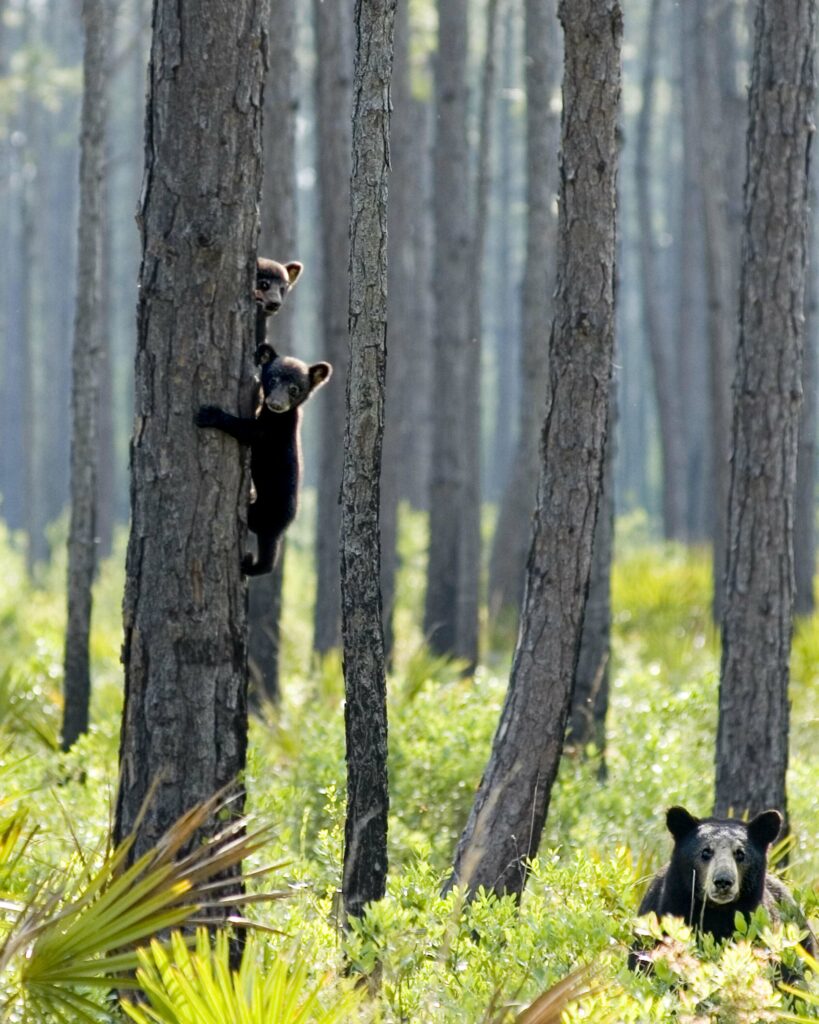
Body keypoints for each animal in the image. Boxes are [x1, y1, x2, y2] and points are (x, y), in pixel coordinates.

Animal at [196, 344, 331, 577]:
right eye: (273, 379)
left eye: (294, 388)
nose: (276, 403)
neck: (276, 416)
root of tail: (288, 522)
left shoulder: (271, 432)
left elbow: (246, 430)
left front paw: (208, 414)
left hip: (268, 513)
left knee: (267, 548)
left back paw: (251, 564)